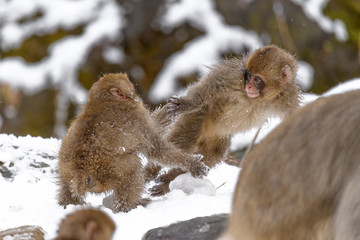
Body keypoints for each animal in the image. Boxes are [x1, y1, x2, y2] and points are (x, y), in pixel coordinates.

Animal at [57, 72, 208, 212]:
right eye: (133, 89)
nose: (136, 95)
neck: (104, 100)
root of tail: (80, 171)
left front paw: (171, 109)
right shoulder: (136, 118)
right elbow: (157, 149)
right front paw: (192, 164)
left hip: (66, 171)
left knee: (67, 188)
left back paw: (69, 205)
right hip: (110, 171)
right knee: (133, 166)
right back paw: (130, 205)